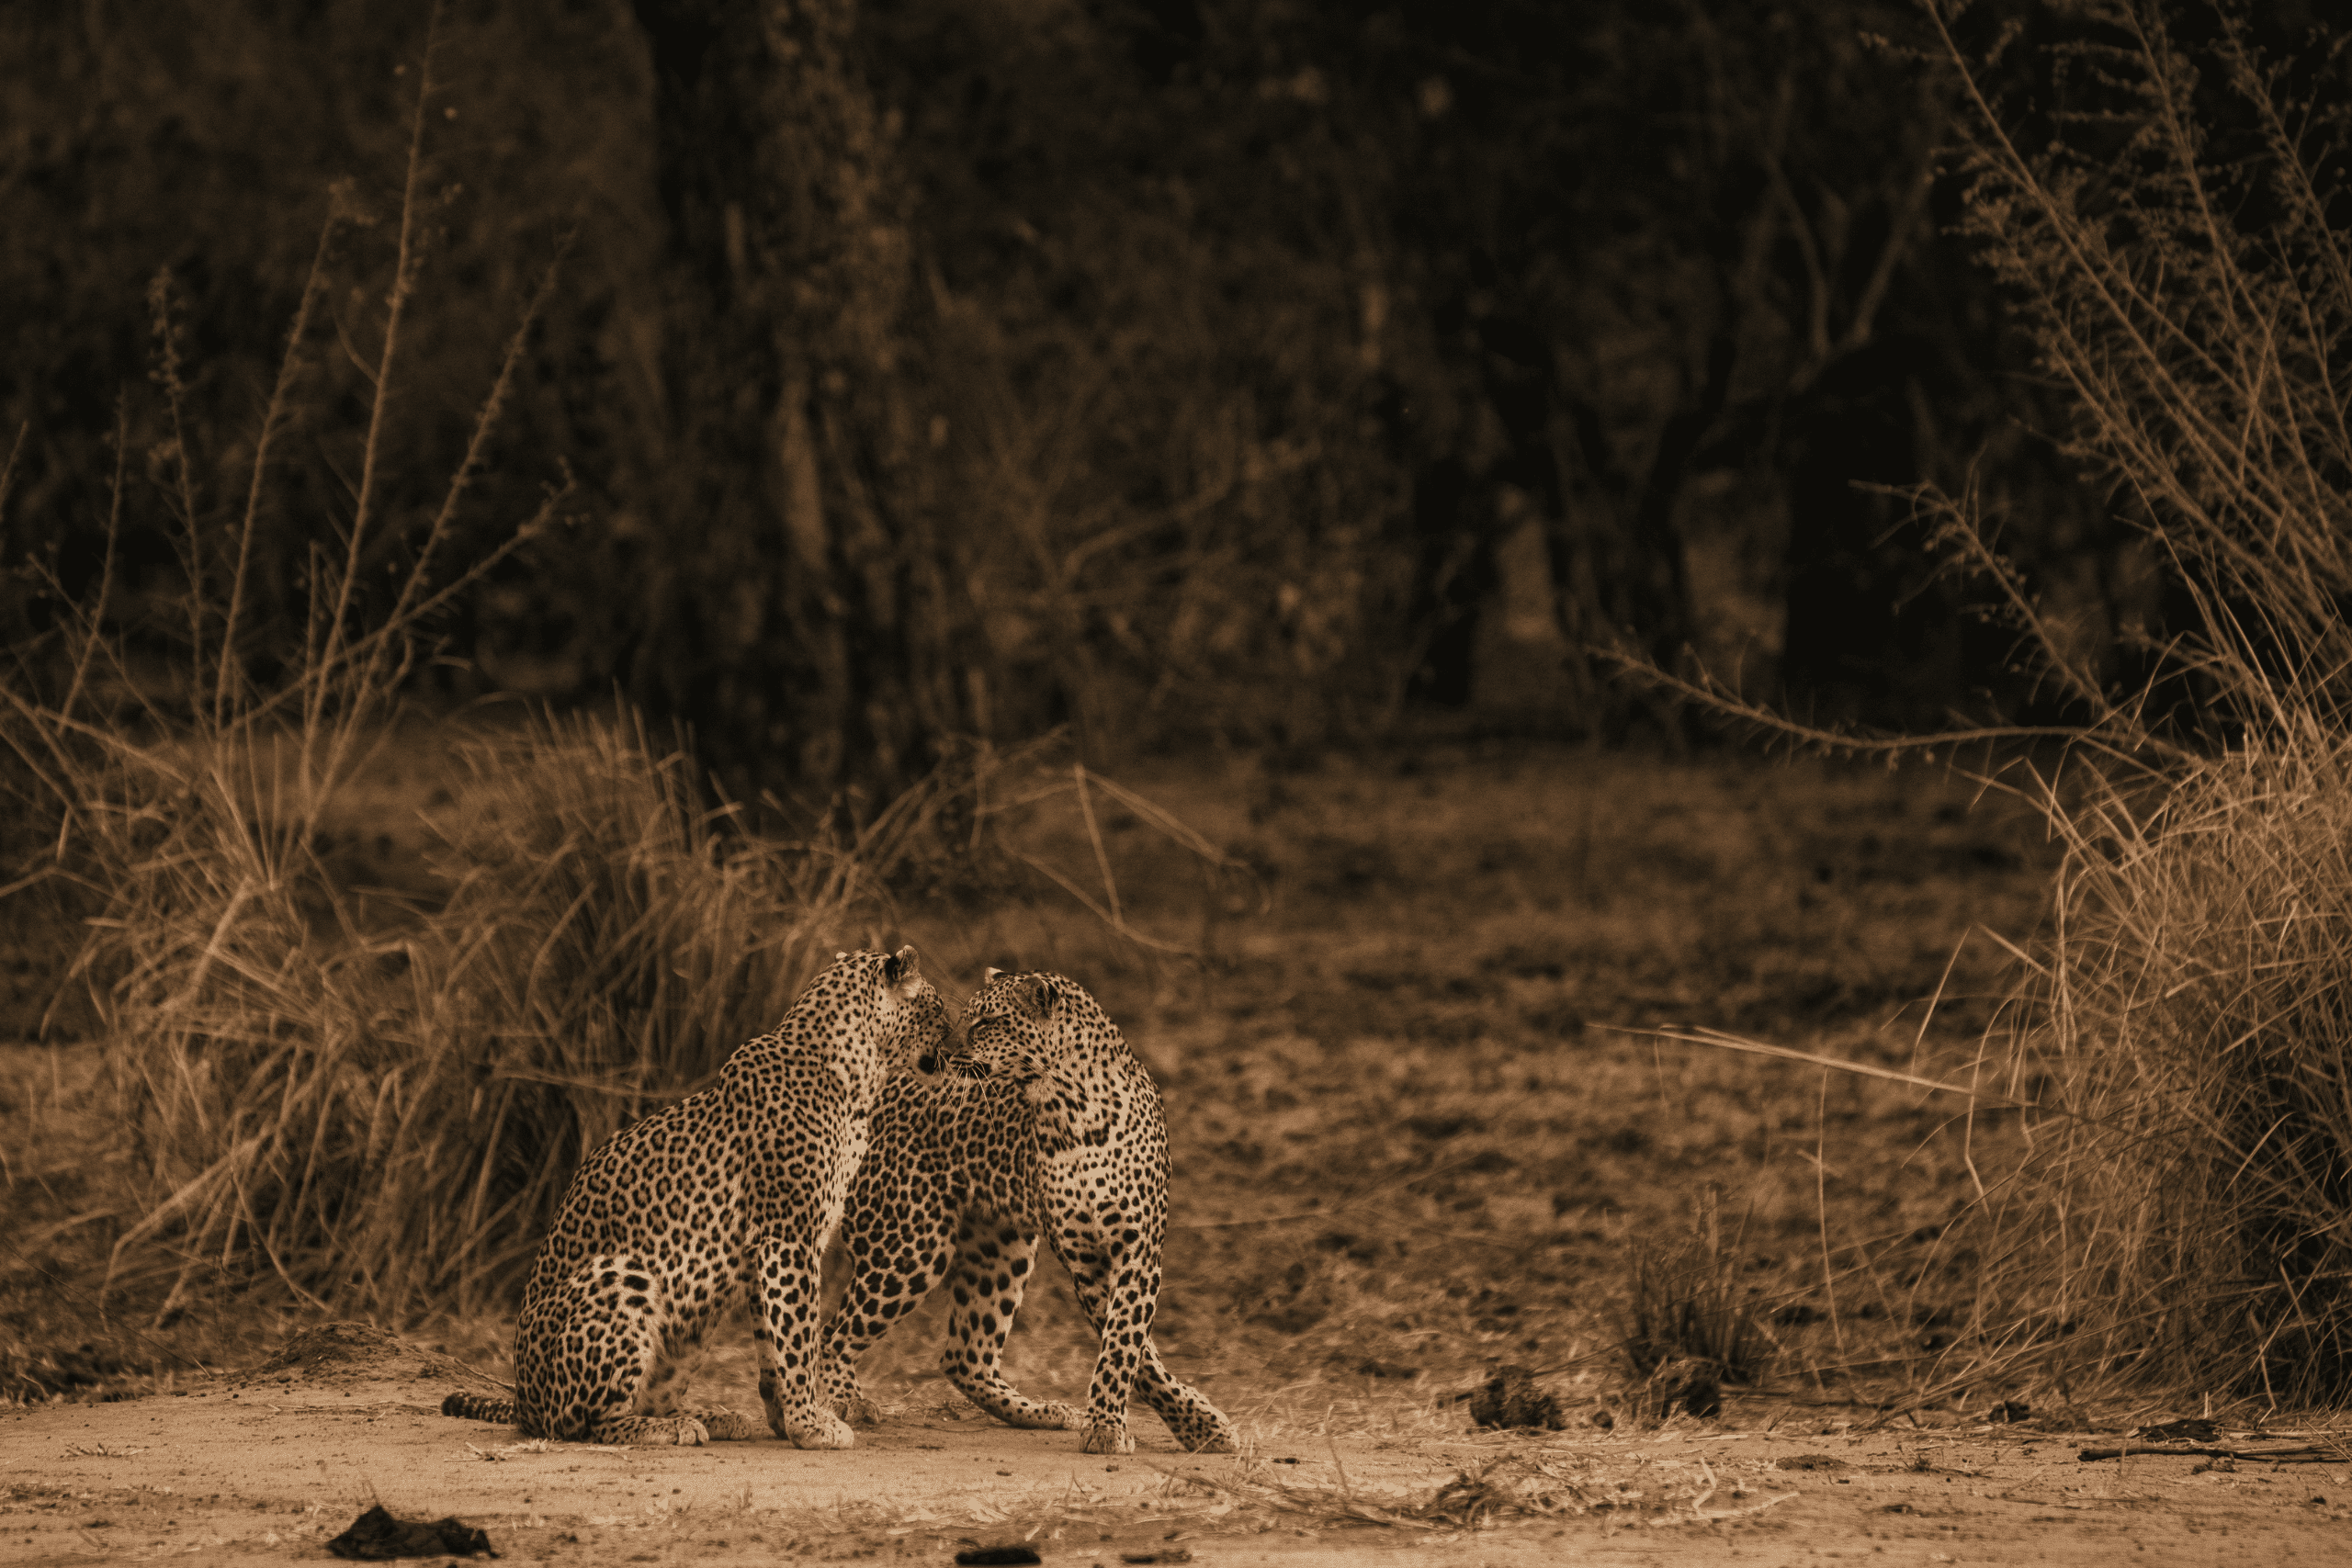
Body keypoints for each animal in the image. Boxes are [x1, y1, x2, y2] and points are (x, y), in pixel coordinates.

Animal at [442, 944, 945, 1448]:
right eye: (938, 1009)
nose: (954, 1040)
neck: (860, 1075)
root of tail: (522, 1401)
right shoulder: (789, 1238)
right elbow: (800, 1336)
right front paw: (811, 1422)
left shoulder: (765, 1250)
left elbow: (774, 1342)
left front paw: (786, 1419)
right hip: (624, 1277)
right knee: (583, 1422)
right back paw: (673, 1427)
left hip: (694, 1323)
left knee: (647, 1396)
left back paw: (713, 1417)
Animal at [818, 968, 1241, 1457]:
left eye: (986, 1022)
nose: (945, 1053)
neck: (1071, 1108)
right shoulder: (1087, 1261)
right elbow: (1130, 1349)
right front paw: (1117, 1426)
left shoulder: (1137, 1251)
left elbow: (1126, 1345)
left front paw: (1186, 1426)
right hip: (910, 1247)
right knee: (832, 1335)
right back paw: (845, 1402)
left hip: (1001, 1248)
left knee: (963, 1357)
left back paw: (1042, 1412)